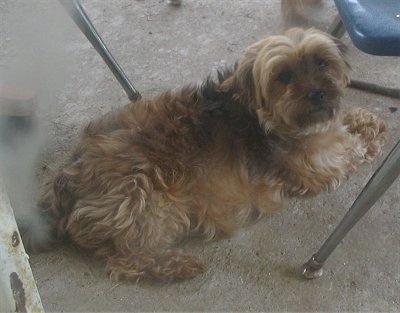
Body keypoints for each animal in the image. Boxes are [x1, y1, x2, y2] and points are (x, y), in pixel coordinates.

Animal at [31, 28, 388, 282]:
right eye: (283, 76)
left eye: (322, 62)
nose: (317, 94)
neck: (263, 113)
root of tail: (65, 179)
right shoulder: (317, 165)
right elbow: (352, 149)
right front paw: (370, 138)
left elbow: (345, 123)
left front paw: (367, 120)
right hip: (145, 196)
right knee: (125, 258)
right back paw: (177, 267)